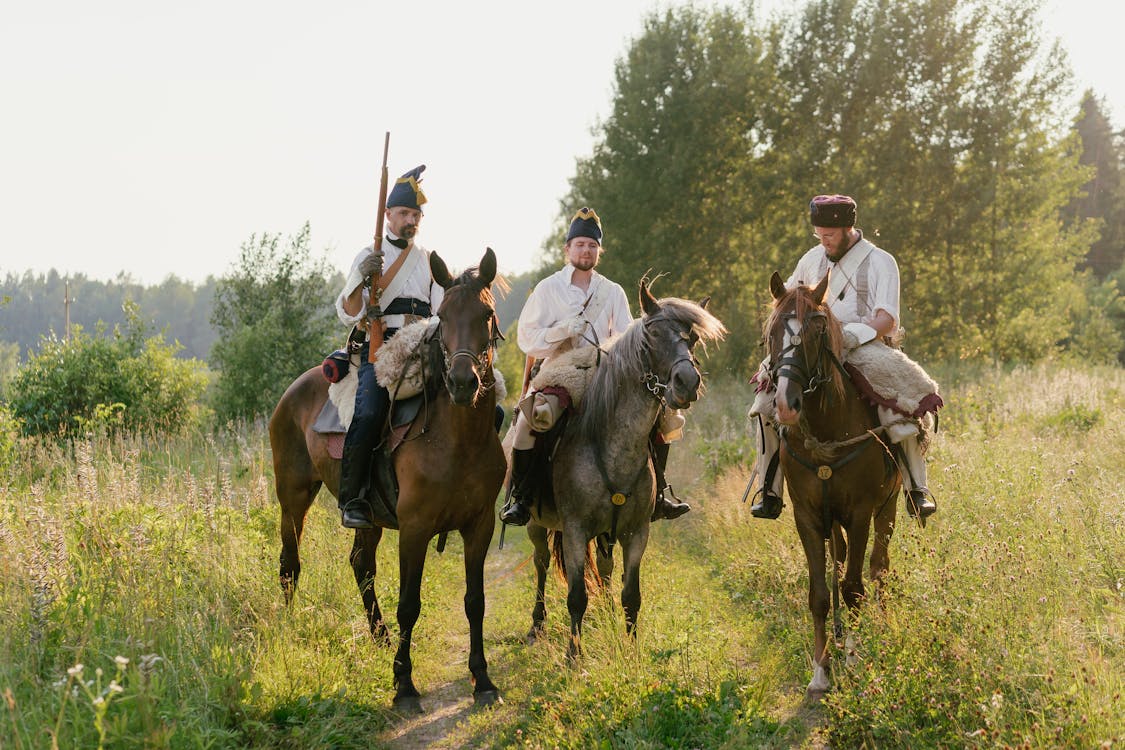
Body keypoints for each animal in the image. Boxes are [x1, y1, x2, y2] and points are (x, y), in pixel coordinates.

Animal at [268, 249, 506, 715]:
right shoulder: (414, 529)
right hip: (293, 496)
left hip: (370, 517)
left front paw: (483, 680)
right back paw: (288, 627)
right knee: (290, 564)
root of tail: (292, 392)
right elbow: (409, 605)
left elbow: (476, 601)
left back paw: (379, 637)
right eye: (444, 316)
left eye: (486, 314)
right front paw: (405, 686)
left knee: (361, 564)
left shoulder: (480, 526)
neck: (458, 439)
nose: (462, 381)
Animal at [760, 270, 900, 697]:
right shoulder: (807, 517)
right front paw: (821, 670)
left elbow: (854, 588)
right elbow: (820, 592)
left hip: (887, 510)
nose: (785, 406)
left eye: (817, 330)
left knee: (879, 569)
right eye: (771, 332)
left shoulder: (859, 515)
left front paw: (853, 661)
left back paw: (884, 630)